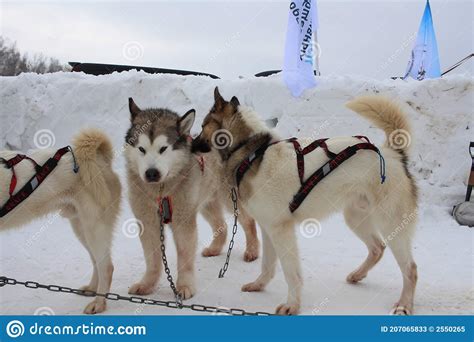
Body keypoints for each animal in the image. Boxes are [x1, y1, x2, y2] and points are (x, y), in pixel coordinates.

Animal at [0, 127, 122, 312]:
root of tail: (101, 159)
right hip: (81, 228)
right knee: (96, 261)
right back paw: (91, 289)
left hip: (94, 227)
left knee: (106, 267)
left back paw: (98, 304)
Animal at [124, 97, 260, 300]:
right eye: (141, 149)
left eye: (163, 149)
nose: (151, 173)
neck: (161, 191)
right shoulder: (148, 222)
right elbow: (153, 259)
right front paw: (147, 284)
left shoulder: (183, 221)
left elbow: (184, 255)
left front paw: (185, 285)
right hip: (205, 202)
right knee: (222, 225)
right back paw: (215, 248)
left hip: (228, 198)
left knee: (248, 221)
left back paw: (252, 250)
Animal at [192, 88, 418, 316]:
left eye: (202, 126)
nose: (190, 144)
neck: (253, 154)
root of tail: (392, 153)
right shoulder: (268, 228)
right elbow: (267, 265)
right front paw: (259, 285)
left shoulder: (281, 231)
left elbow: (291, 274)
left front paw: (292, 305)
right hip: (356, 218)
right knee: (377, 248)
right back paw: (357, 275)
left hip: (391, 225)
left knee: (411, 269)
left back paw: (404, 304)